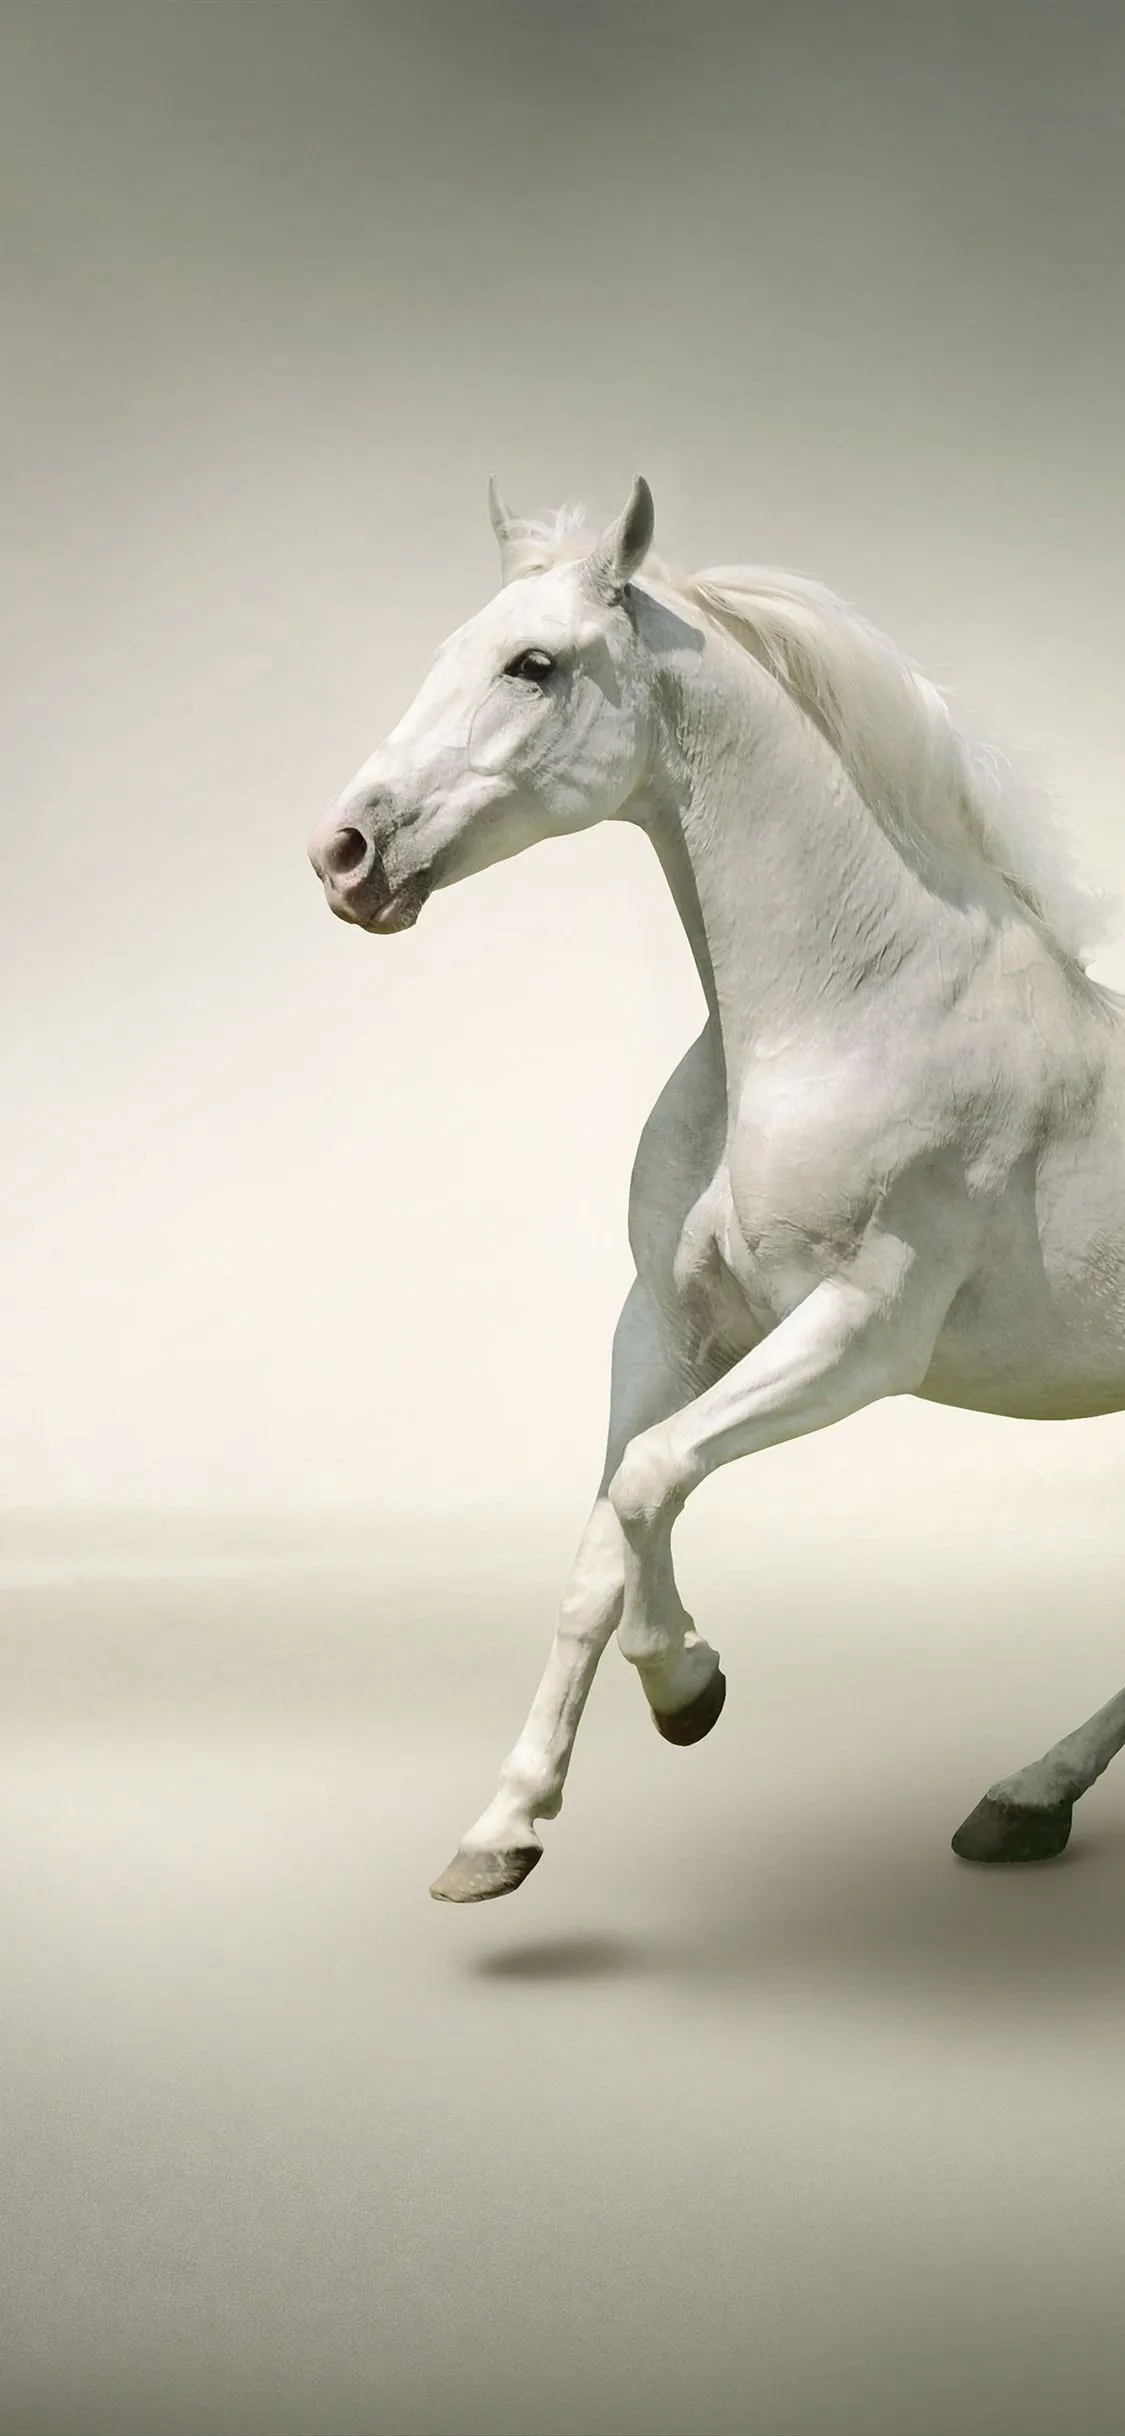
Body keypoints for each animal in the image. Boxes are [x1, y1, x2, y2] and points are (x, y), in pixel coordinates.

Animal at [307, 473, 1125, 1905]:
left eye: (534, 664)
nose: (345, 854)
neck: (848, 1011)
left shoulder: (861, 1338)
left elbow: (648, 1483)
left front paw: (689, 1686)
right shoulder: (665, 1325)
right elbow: (601, 1538)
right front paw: (501, 1831)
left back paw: (1025, 1796)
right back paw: (1023, 1801)